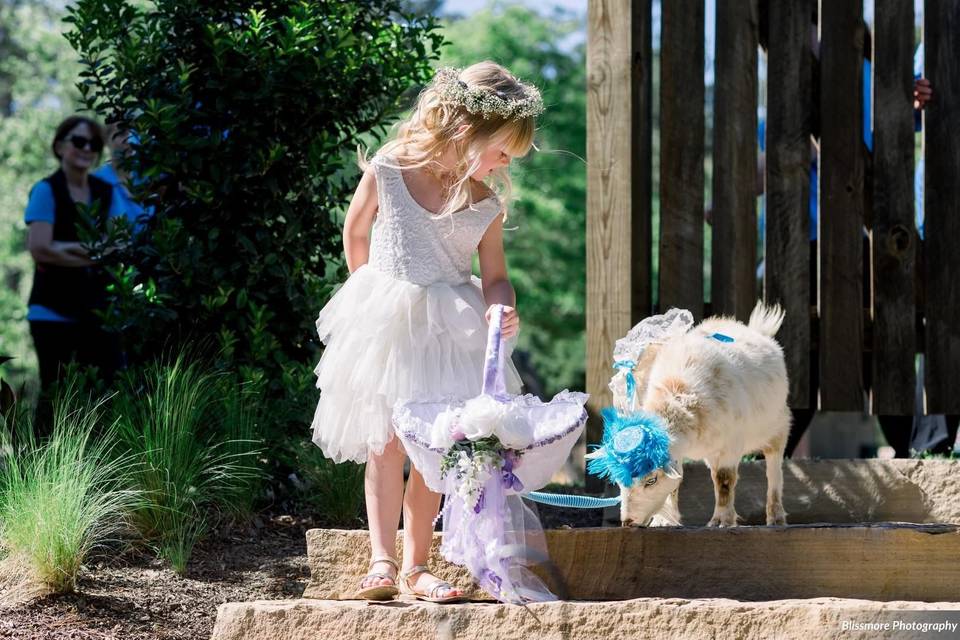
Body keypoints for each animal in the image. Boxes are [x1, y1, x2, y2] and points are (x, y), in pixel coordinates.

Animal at [604, 302, 792, 528]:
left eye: (651, 480)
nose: (628, 522)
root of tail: (758, 332)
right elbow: (679, 482)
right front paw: (664, 521)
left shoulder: (732, 443)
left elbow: (725, 479)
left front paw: (722, 521)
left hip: (777, 425)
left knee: (774, 468)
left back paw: (776, 516)